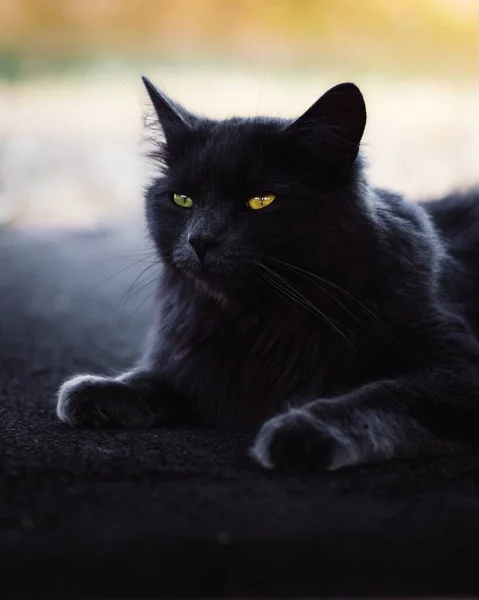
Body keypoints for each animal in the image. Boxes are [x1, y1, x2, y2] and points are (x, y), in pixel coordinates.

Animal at [57, 75, 479, 468]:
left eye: (261, 200)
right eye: (182, 199)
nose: (200, 240)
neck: (256, 319)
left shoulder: (457, 367)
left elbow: (380, 397)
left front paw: (300, 430)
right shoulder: (191, 360)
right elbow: (155, 377)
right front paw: (96, 391)